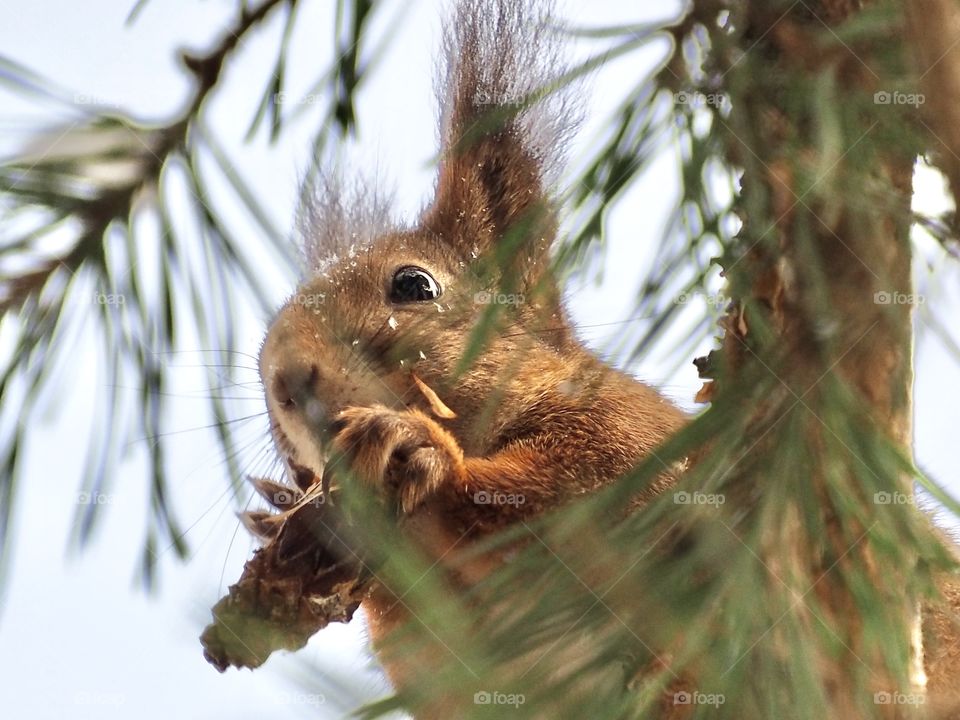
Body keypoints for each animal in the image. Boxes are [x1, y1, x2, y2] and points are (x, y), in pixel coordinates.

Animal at [247, 0, 960, 717]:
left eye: (414, 285)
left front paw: (417, 454)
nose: (286, 379)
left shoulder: (629, 449)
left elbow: (547, 504)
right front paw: (289, 519)